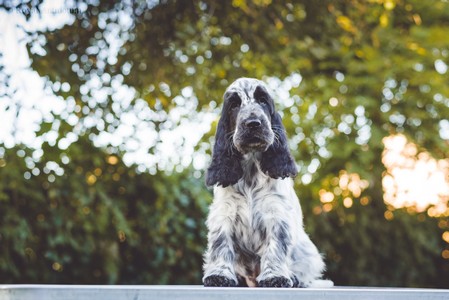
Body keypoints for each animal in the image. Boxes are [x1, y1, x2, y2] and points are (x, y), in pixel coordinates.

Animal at [202, 77, 328, 288]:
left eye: (262, 100)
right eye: (234, 105)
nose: (253, 123)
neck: (251, 170)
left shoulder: (276, 212)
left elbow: (276, 246)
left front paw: (275, 277)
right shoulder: (224, 212)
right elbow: (221, 244)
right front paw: (219, 275)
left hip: (308, 252)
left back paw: (294, 278)